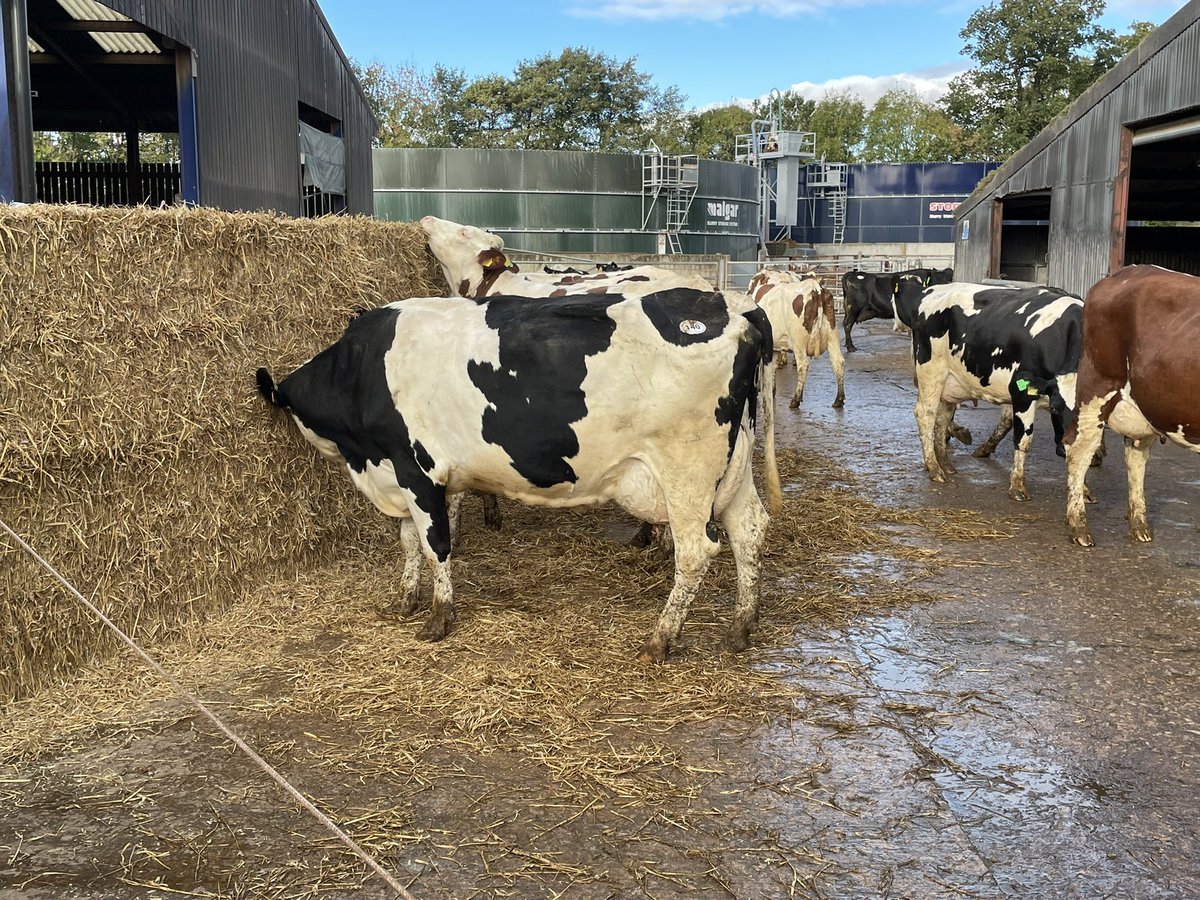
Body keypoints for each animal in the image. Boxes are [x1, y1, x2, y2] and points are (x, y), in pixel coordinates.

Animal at [256, 288, 781, 664]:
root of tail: (734, 308)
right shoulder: (406, 478)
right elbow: (409, 542)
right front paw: (405, 599)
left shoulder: (417, 470)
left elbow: (434, 545)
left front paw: (438, 618)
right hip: (733, 468)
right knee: (750, 530)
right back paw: (741, 626)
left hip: (687, 471)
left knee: (696, 551)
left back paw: (661, 639)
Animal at [754, 274, 846, 409]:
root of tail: (816, 288)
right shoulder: (775, 347)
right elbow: (772, 367)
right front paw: (771, 389)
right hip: (832, 336)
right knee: (838, 362)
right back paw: (839, 399)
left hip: (799, 342)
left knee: (803, 365)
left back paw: (795, 400)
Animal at [910, 283, 1082, 501]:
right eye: (1054, 409)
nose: (1068, 445)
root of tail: (931, 290)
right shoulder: (1021, 393)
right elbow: (1023, 439)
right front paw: (1017, 486)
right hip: (931, 373)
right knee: (926, 415)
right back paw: (934, 468)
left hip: (951, 383)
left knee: (942, 418)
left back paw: (946, 464)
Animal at [1065, 266, 1200, 546]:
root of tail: (1129, 271)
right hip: (1098, 384)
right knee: (1079, 448)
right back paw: (1079, 526)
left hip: (1147, 403)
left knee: (1135, 456)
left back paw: (1139, 524)